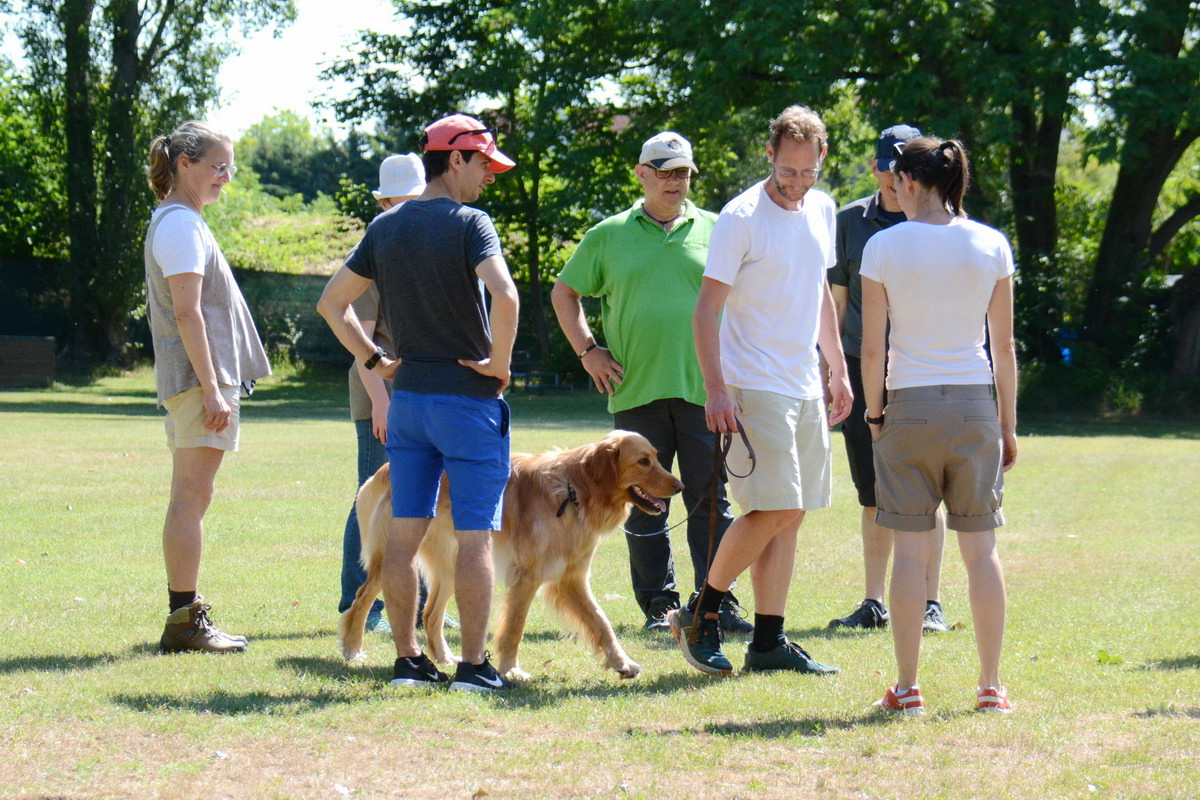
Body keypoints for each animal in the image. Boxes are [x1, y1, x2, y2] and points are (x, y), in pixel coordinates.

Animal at [338, 429, 686, 681]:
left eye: (656, 458)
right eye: (643, 461)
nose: (680, 486)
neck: (575, 490)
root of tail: (385, 468)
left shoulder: (572, 578)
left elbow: (601, 622)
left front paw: (623, 664)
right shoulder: (527, 576)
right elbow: (514, 629)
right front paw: (509, 669)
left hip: (454, 561)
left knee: (429, 613)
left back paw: (445, 657)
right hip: (398, 553)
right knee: (361, 598)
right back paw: (352, 649)